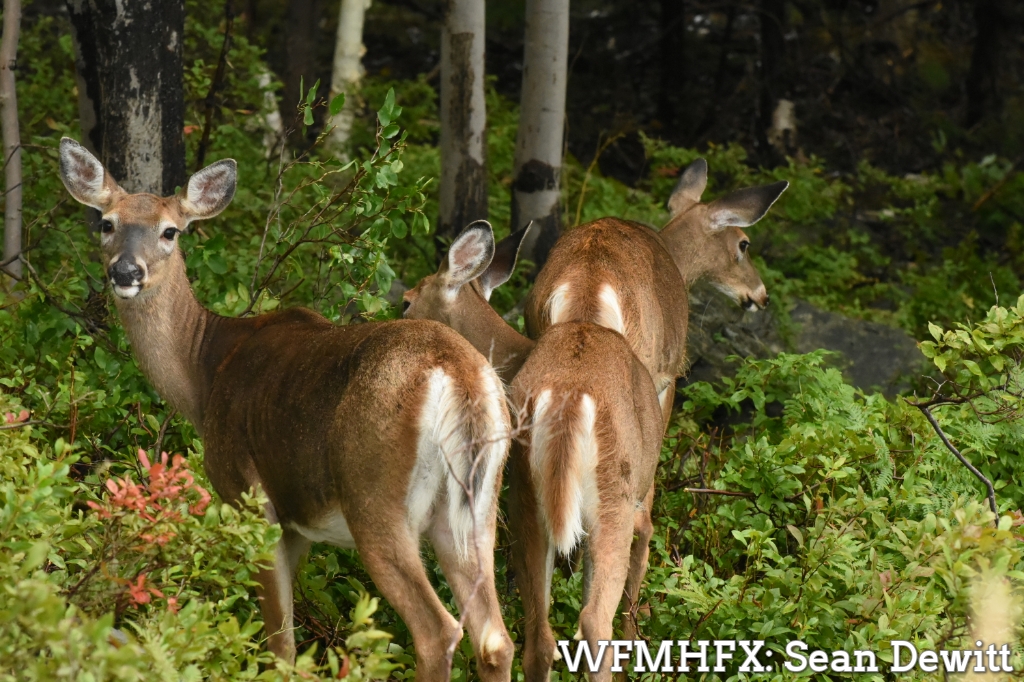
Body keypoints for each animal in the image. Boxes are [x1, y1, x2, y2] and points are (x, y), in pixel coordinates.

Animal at [57, 138, 516, 679]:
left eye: (171, 230)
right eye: (107, 223)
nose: (126, 272)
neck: (204, 373)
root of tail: (461, 376)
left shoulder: (248, 494)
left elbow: (280, 646)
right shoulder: (298, 525)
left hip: (375, 495)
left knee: (437, 630)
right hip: (475, 512)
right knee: (495, 638)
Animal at [401, 220, 663, 675]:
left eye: (406, 302)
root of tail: (569, 397)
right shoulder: (640, 496)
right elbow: (645, 542)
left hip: (525, 494)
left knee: (538, 638)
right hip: (612, 496)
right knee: (594, 624)